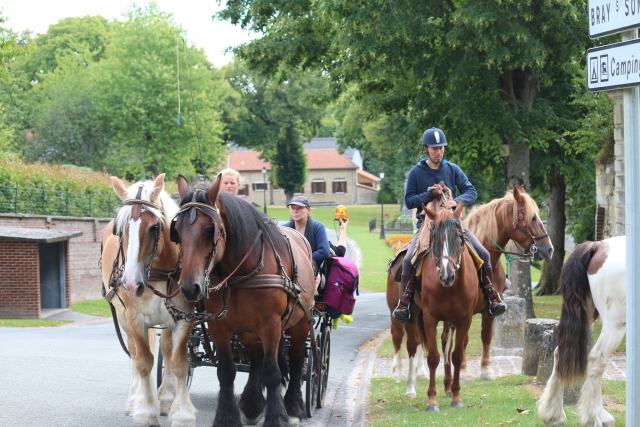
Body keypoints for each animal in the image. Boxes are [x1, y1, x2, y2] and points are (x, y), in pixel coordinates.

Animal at [100, 174, 196, 427]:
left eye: (154, 227)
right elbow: (143, 361)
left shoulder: (183, 317)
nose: (131, 284)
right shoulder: (135, 318)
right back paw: (135, 400)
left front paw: (181, 413)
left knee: (167, 348)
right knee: (134, 352)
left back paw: (166, 398)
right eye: (120, 229)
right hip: (122, 315)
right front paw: (145, 412)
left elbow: (179, 362)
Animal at [170, 174, 316, 427]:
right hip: (249, 330)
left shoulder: (271, 325)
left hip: (300, 323)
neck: (240, 273)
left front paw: (276, 418)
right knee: (256, 360)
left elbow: (273, 372)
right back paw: (252, 404)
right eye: (176, 230)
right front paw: (227, 417)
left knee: (296, 360)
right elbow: (226, 371)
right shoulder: (219, 326)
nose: (189, 287)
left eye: (210, 229)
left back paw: (294, 407)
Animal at [537, 235, 625, 427]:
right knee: (596, 359)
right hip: (615, 324)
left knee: (559, 353)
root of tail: (597, 246)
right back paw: (598, 416)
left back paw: (553, 414)